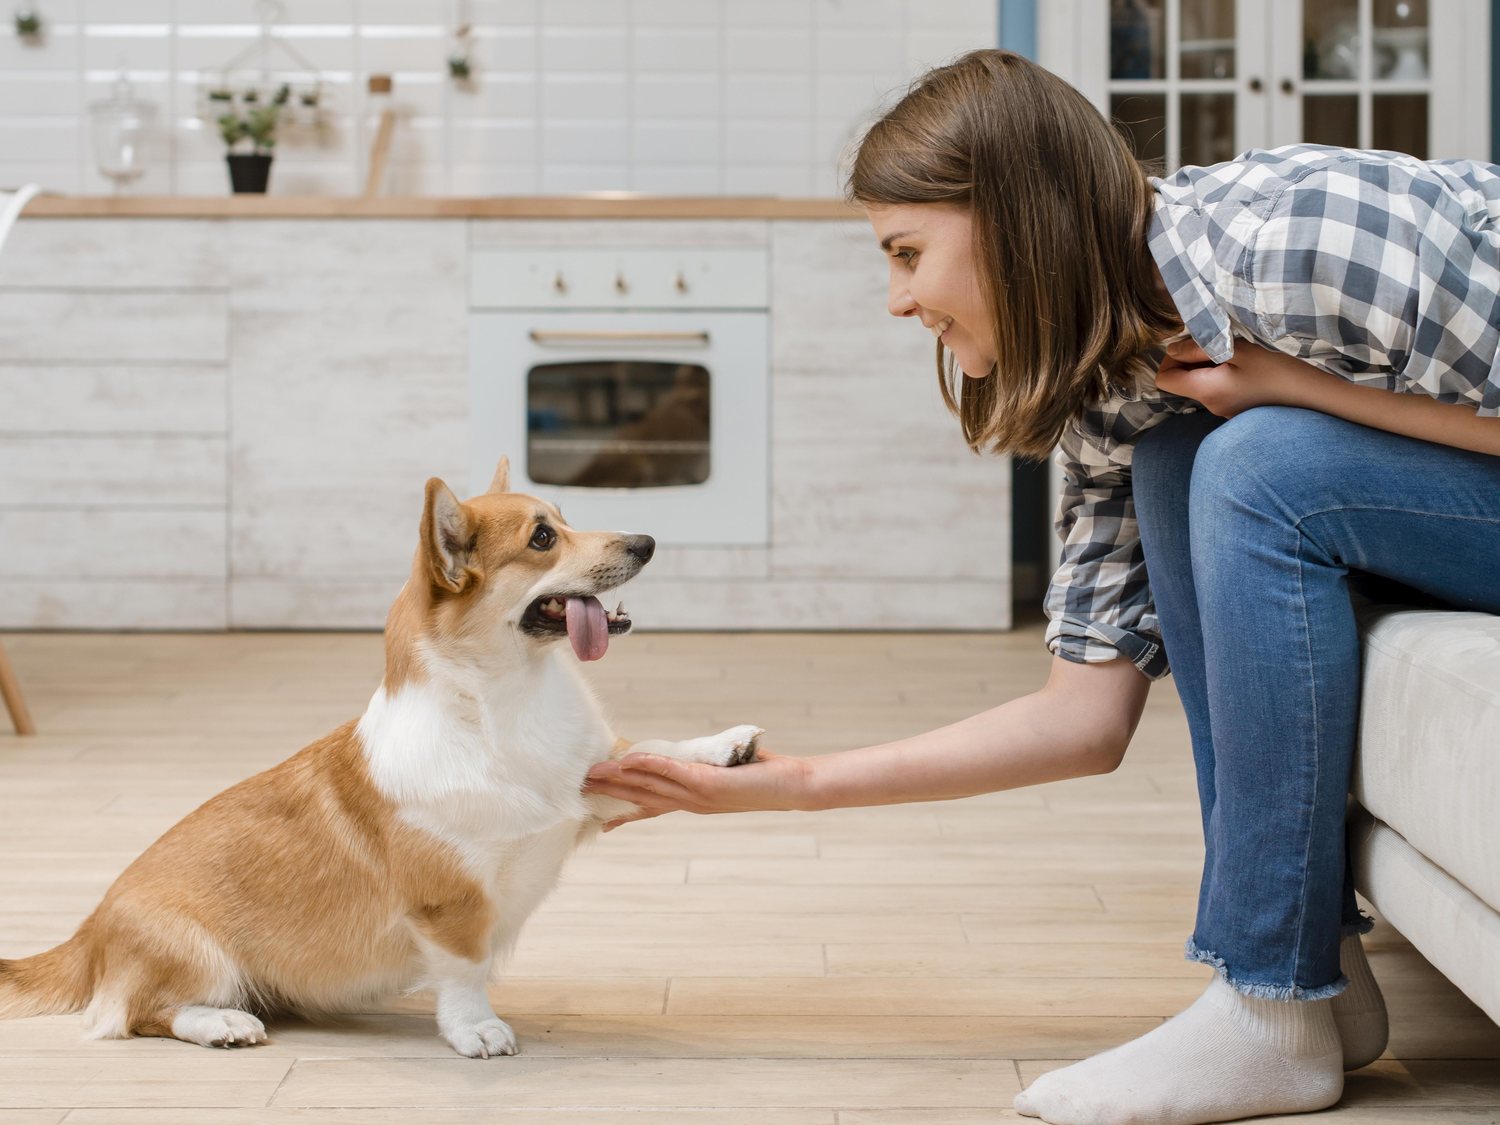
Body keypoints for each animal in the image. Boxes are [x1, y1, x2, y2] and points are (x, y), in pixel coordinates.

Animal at [0, 459, 762, 1056]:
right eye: (543, 538)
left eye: (566, 519)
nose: (648, 541)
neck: (506, 699)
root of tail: (90, 929)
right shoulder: (451, 901)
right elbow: (464, 970)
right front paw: (476, 1030)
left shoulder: (590, 782)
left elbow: (654, 749)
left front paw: (725, 745)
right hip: (196, 954)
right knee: (134, 1014)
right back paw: (221, 1024)